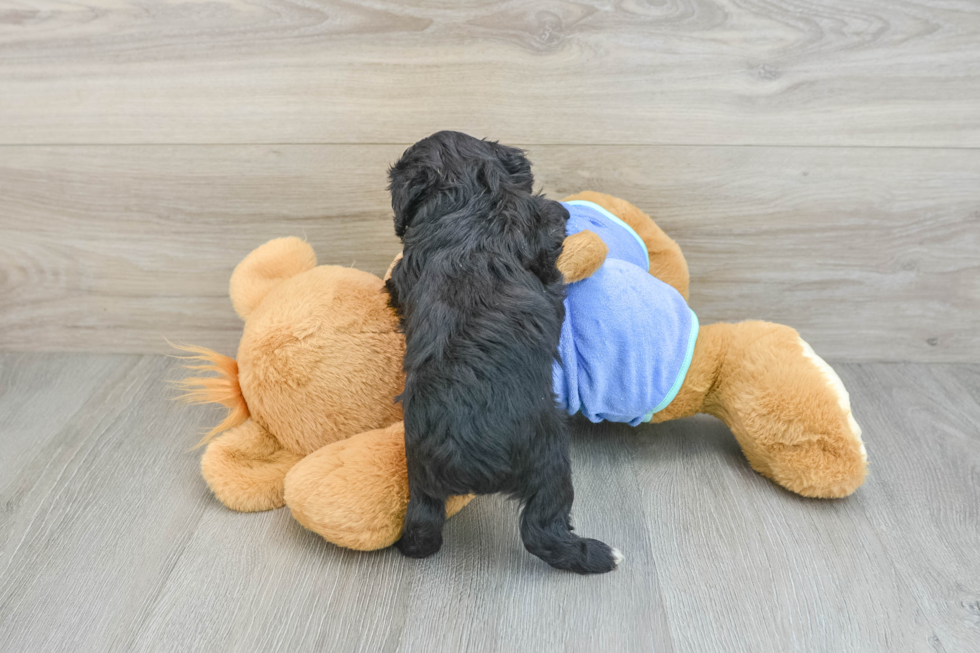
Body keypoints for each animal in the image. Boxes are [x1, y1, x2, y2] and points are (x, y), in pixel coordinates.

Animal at [384, 130, 620, 572]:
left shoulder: (406, 272)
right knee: (542, 528)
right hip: (549, 456)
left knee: (424, 525)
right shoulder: (534, 224)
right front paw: (562, 214)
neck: (465, 199)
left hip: (421, 477)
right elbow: (549, 224)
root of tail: (468, 465)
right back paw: (597, 554)